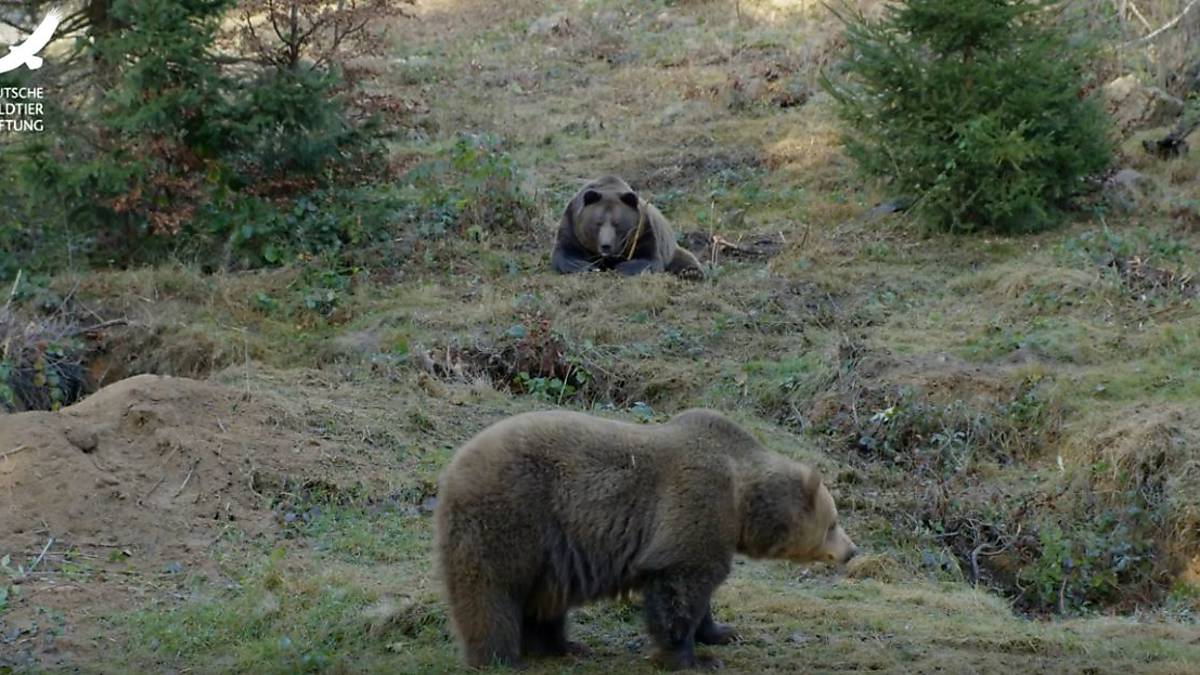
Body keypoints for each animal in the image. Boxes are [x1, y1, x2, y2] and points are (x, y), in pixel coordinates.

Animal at [436, 403, 859, 667]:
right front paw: (692, 658)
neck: (741, 498)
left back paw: (563, 645)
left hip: (550, 553)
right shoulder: (696, 502)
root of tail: (453, 468)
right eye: (834, 523)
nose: (852, 551)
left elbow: (702, 591)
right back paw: (500, 657)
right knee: (492, 591)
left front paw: (721, 632)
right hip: (512, 516)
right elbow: (679, 588)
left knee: (544, 599)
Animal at [549, 176, 700, 278]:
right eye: (598, 223)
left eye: (617, 224)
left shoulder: (644, 230)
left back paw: (691, 273)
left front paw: (622, 267)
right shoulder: (572, 225)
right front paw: (585, 266)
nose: (606, 245)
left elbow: (649, 259)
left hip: (671, 250)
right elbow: (566, 253)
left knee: (686, 259)